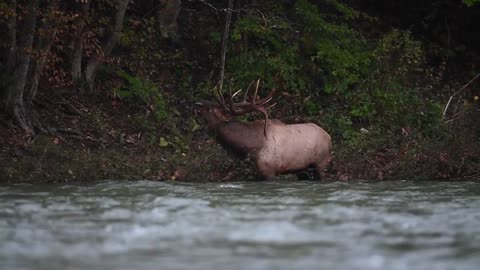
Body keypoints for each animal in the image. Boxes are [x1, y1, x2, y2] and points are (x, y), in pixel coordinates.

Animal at [193, 78, 332, 180]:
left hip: (321, 162)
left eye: (210, 109)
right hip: (303, 169)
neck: (249, 148)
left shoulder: (269, 170)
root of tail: (329, 137)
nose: (197, 103)